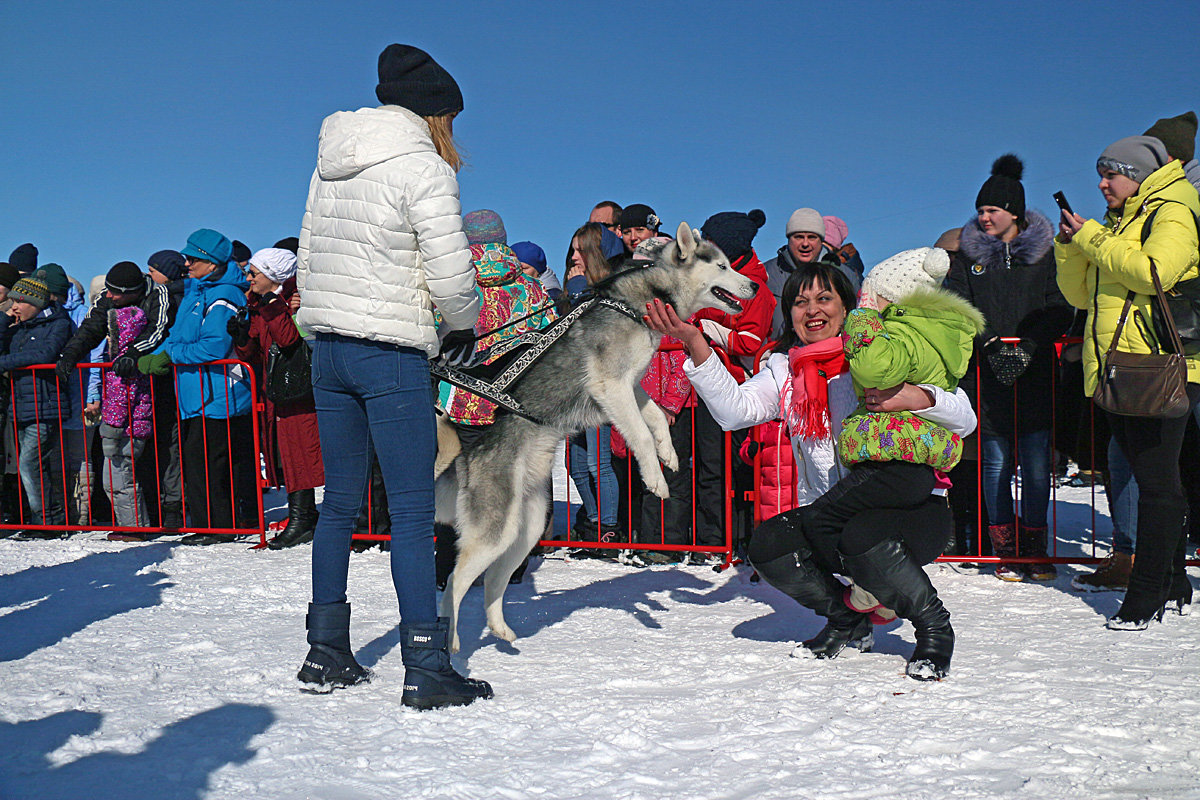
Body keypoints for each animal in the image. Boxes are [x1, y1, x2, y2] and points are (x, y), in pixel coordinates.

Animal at [441, 221, 758, 652]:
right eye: (723, 266)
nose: (755, 286)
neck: (646, 296)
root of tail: (471, 453)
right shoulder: (612, 386)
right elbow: (641, 433)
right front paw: (656, 478)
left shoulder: (630, 387)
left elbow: (656, 419)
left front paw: (670, 454)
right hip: (494, 529)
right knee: (454, 582)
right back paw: (452, 640)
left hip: (525, 528)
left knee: (492, 578)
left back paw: (500, 629)